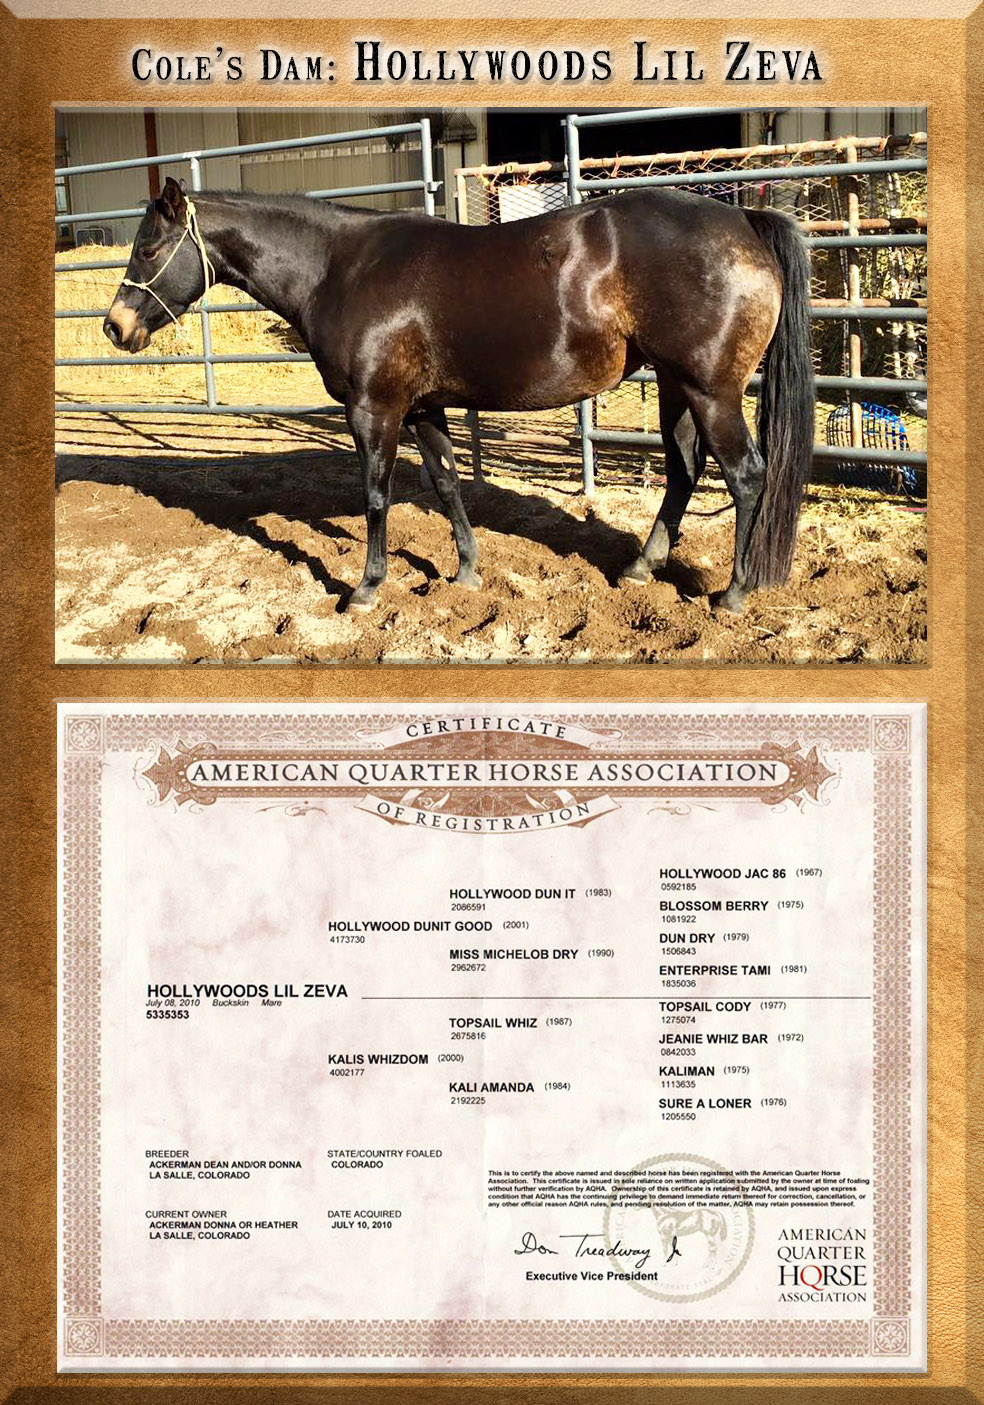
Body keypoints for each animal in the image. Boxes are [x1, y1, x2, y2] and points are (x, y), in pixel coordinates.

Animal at [104, 176, 815, 615]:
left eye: (148, 248)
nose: (115, 326)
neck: (339, 267)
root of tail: (741, 217)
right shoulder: (423, 408)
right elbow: (445, 484)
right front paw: (468, 572)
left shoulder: (374, 409)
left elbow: (376, 496)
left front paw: (366, 588)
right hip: (676, 386)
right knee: (685, 469)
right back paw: (642, 568)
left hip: (711, 391)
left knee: (747, 475)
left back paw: (733, 595)